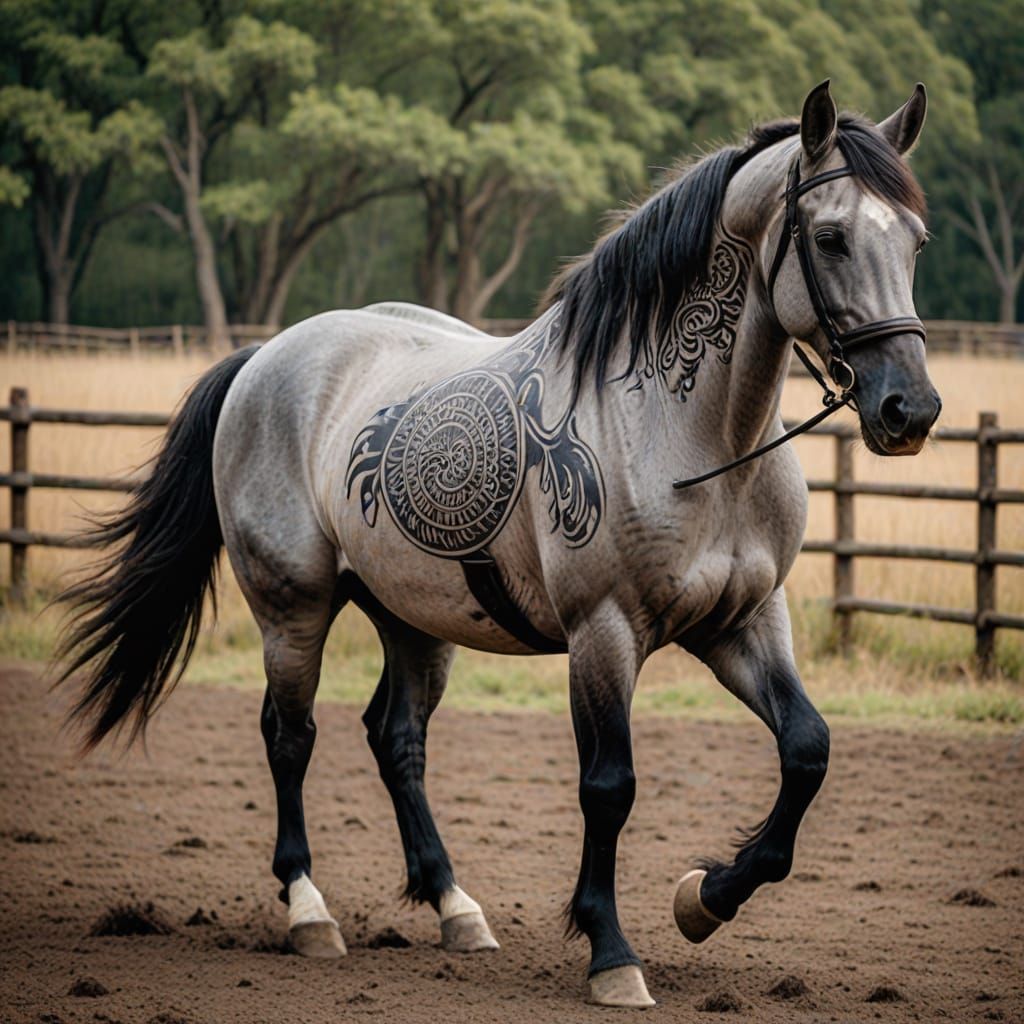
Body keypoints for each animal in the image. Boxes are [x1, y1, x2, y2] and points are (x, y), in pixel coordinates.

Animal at [57, 80, 940, 1008]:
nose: (910, 410)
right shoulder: (603, 634)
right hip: (292, 611)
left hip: (415, 620)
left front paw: (704, 898)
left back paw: (454, 905)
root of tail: (268, 355)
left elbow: (806, 751)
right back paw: (309, 913)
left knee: (396, 740)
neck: (688, 437)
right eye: (831, 238)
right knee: (289, 736)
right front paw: (611, 952)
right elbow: (609, 787)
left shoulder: (743, 623)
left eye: (914, 239)